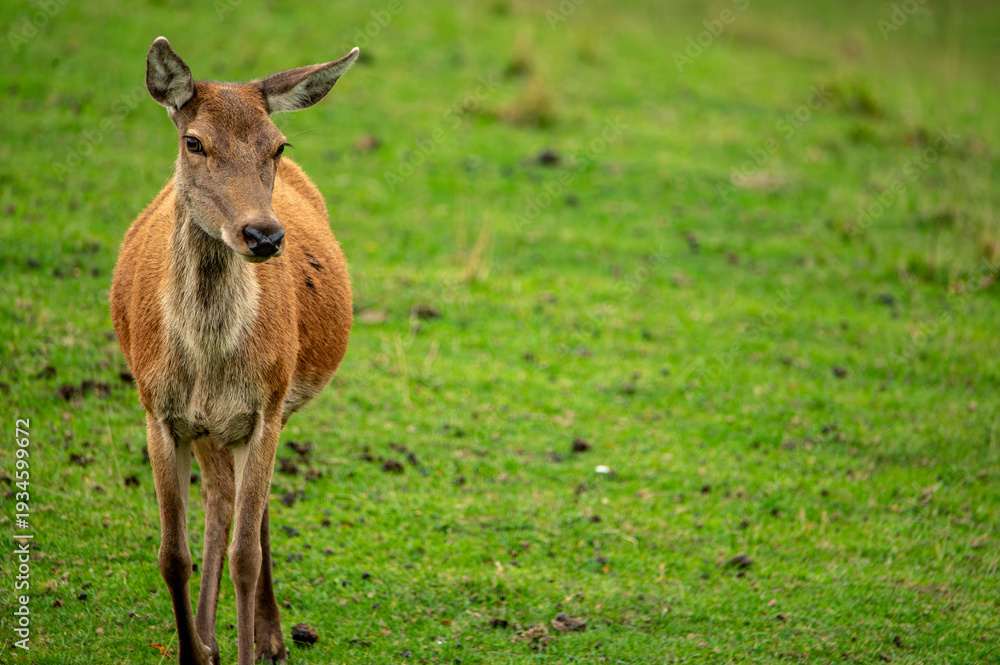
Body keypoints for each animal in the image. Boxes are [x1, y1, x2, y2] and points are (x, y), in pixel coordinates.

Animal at [110, 37, 358, 665]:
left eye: (277, 145)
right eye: (193, 141)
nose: (263, 236)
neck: (208, 358)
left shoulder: (264, 408)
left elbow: (246, 555)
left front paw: (255, 643)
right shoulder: (159, 411)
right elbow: (172, 555)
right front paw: (192, 650)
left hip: (273, 406)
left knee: (253, 510)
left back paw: (270, 635)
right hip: (206, 427)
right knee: (221, 497)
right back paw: (208, 635)